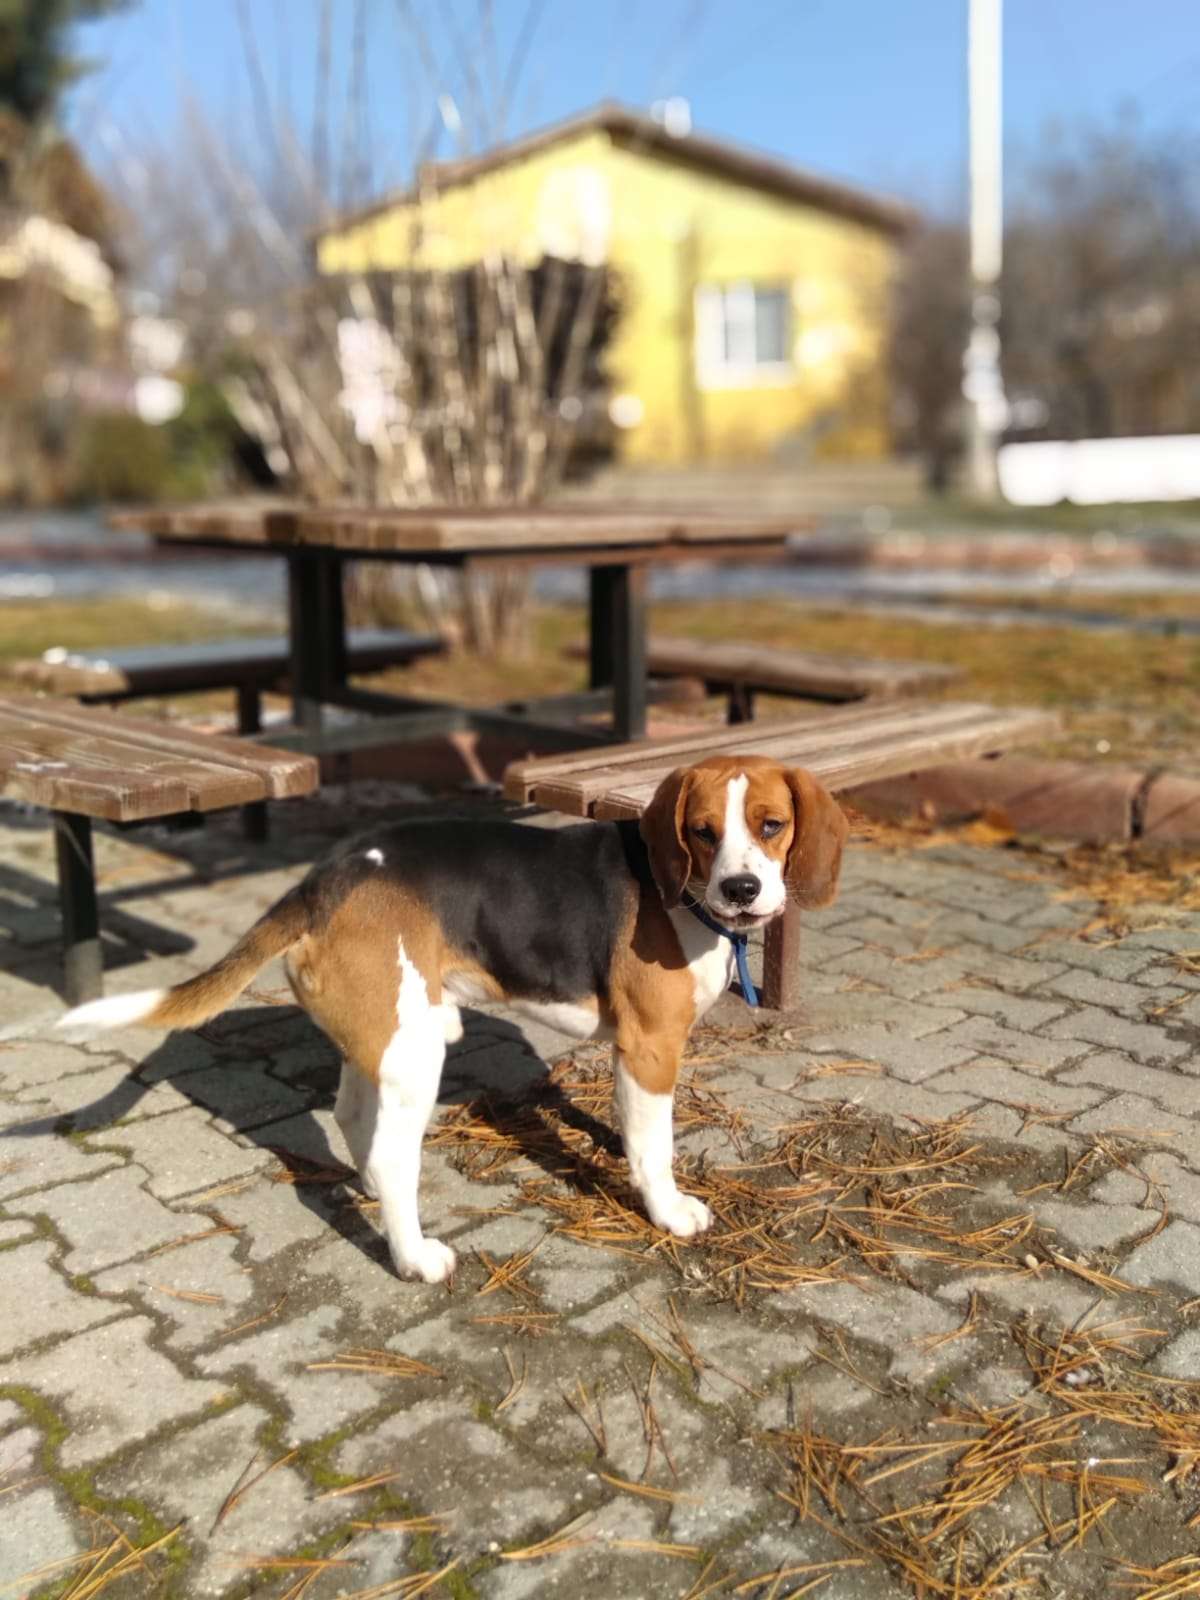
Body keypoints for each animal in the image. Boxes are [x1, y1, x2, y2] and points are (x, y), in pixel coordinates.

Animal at [59, 755, 847, 1283]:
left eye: (771, 826)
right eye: (701, 832)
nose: (741, 889)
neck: (680, 893)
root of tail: (324, 881)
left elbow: (624, 1129)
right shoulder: (651, 1048)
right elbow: (654, 1150)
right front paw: (670, 1212)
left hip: (386, 1035)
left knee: (354, 1120)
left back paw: (377, 1201)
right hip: (416, 1057)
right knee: (389, 1152)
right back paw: (414, 1256)